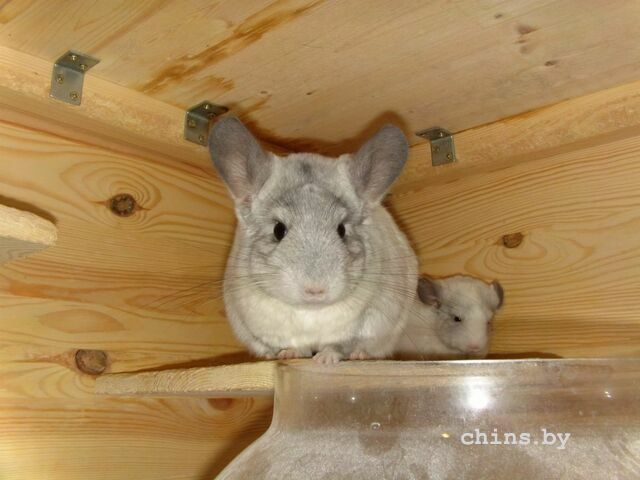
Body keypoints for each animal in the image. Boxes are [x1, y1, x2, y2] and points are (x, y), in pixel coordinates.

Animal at [208, 117, 418, 364]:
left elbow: (337, 345)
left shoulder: (359, 325)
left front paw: (325, 359)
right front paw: (289, 354)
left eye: (342, 229)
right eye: (278, 230)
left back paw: (359, 356)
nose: (316, 290)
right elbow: (292, 345)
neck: (309, 310)